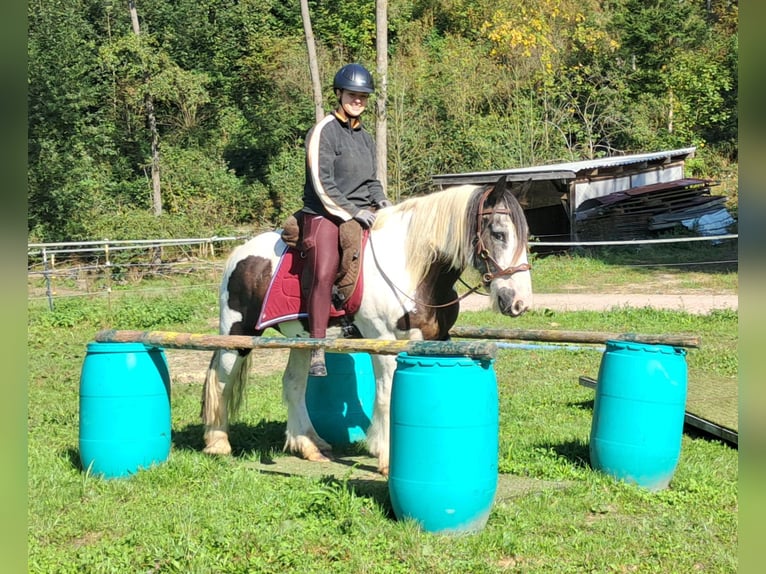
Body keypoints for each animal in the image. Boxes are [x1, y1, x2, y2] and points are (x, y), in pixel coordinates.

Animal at [201, 176, 532, 476]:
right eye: (499, 233)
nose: (519, 302)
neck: (411, 267)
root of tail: (239, 254)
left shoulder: (436, 340)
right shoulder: (383, 341)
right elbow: (386, 396)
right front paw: (385, 456)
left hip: (302, 340)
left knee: (293, 384)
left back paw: (309, 444)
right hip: (238, 333)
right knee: (221, 379)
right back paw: (218, 443)